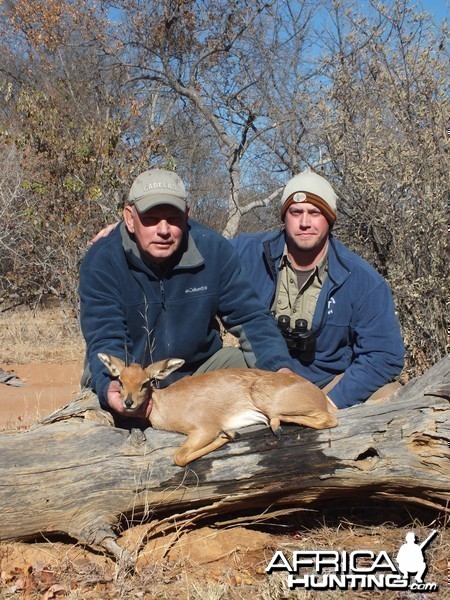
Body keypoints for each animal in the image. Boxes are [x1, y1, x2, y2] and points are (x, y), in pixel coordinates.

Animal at [98, 354, 338, 466]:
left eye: (146, 383)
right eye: (120, 381)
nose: (128, 402)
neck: (166, 404)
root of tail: (318, 393)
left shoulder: (205, 428)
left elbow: (179, 457)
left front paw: (229, 435)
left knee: (328, 420)